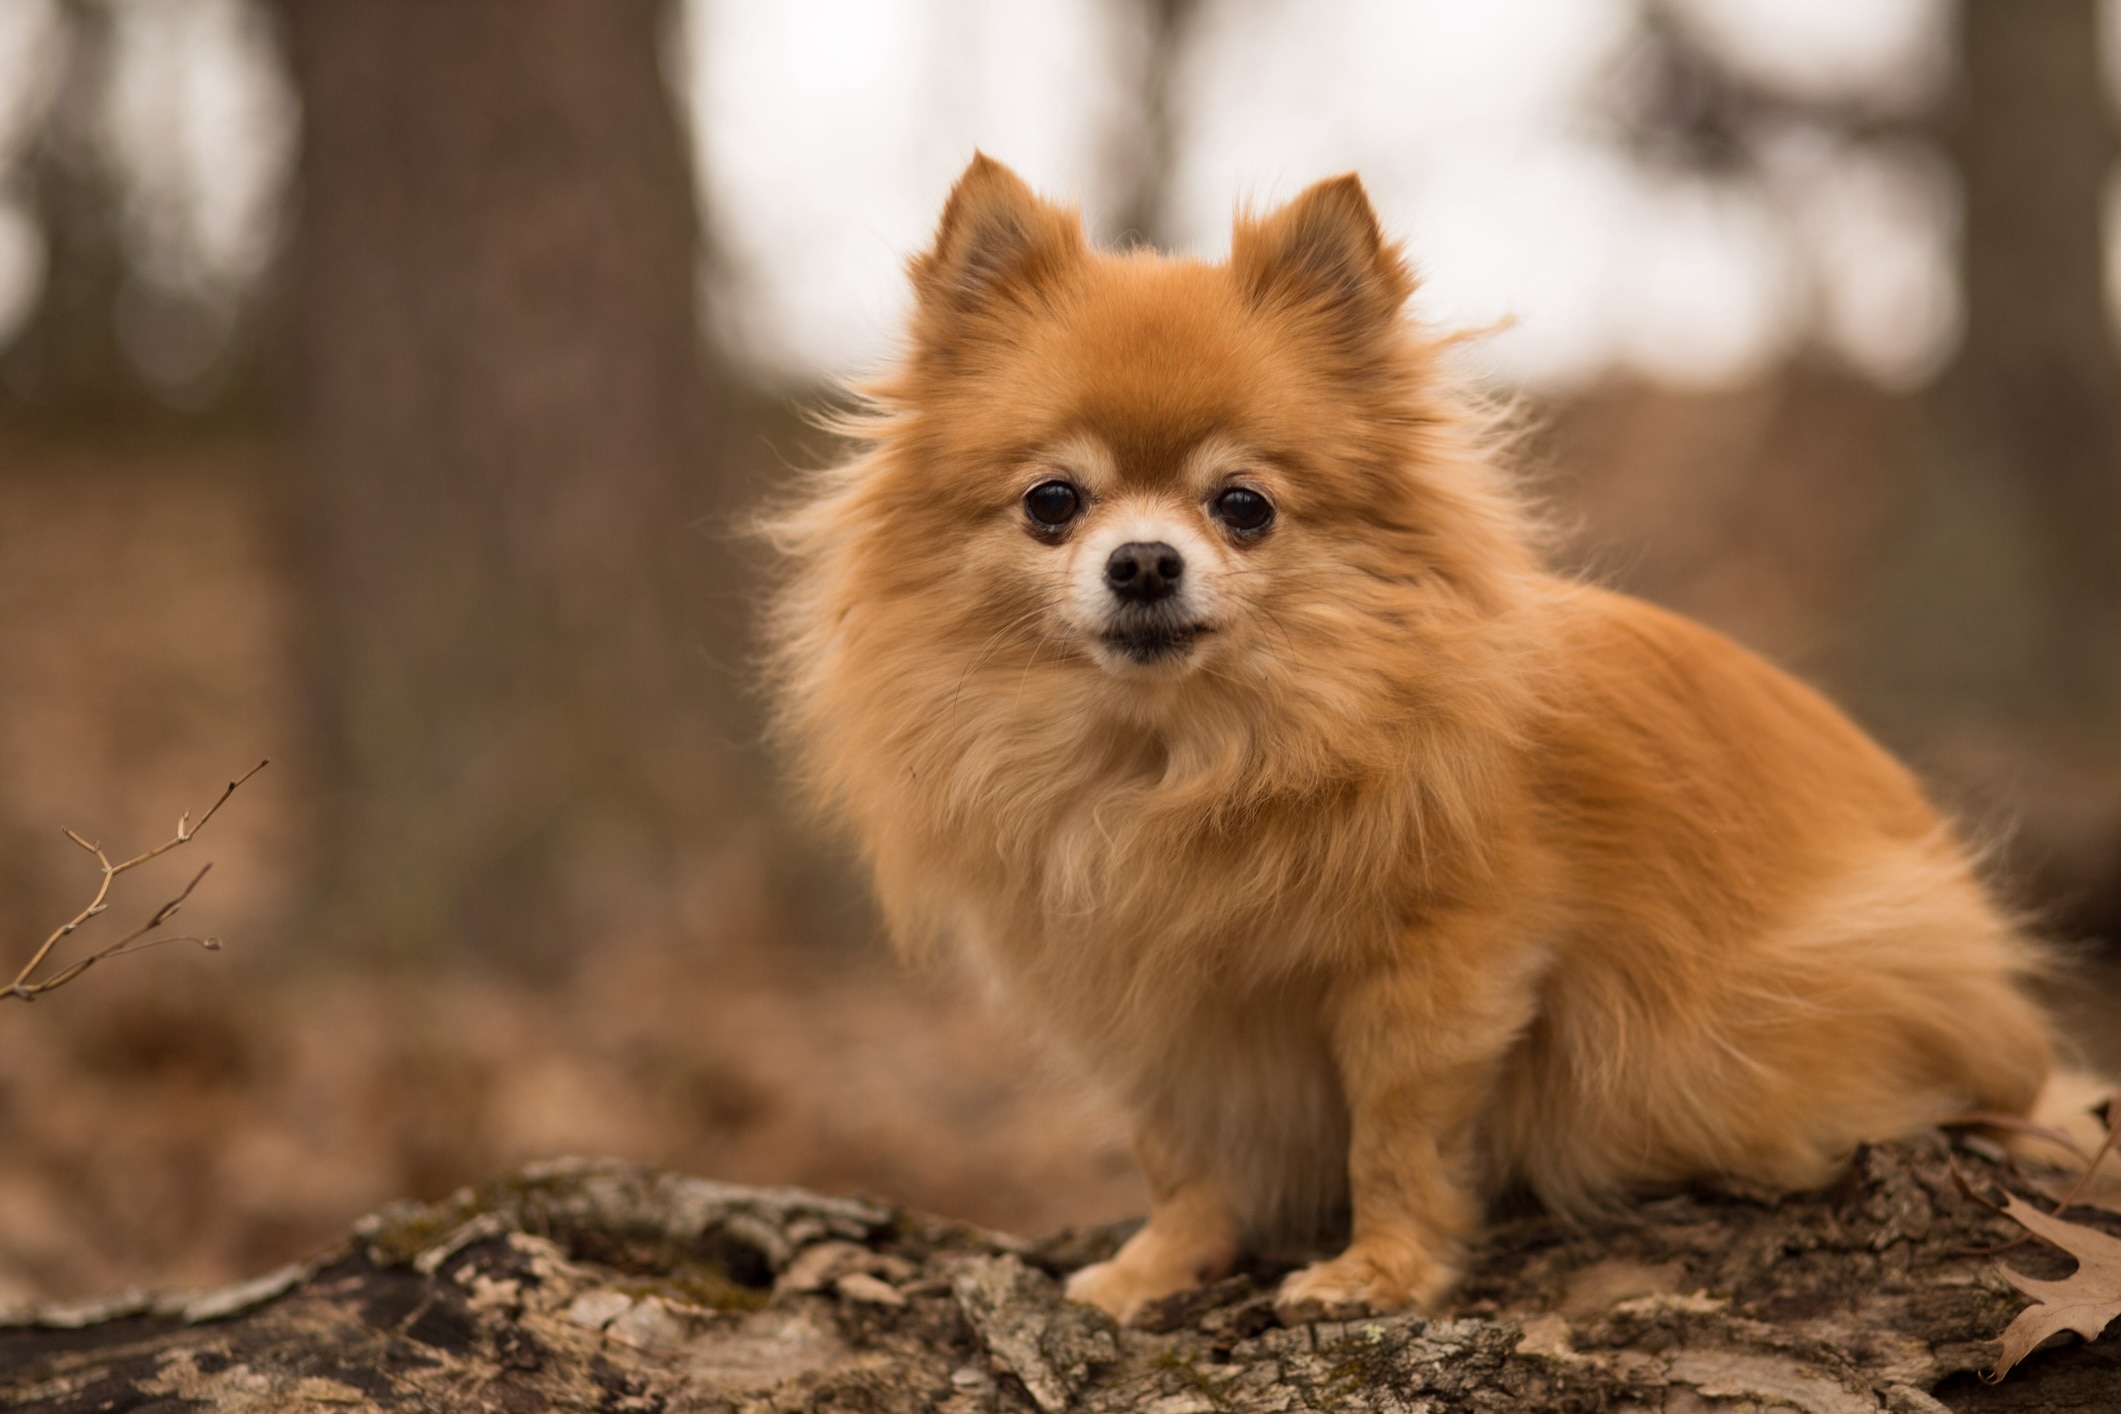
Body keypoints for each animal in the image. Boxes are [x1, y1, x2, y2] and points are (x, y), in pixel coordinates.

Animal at [759, 154, 2087, 1331]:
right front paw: (1162, 1265)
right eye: (1053, 503)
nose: (1142, 561)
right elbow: (1179, 1150)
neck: (1181, 757)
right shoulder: (1152, 1011)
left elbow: (1393, 1136)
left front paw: (1378, 1271)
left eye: (1242, 505)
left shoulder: (1442, 974)